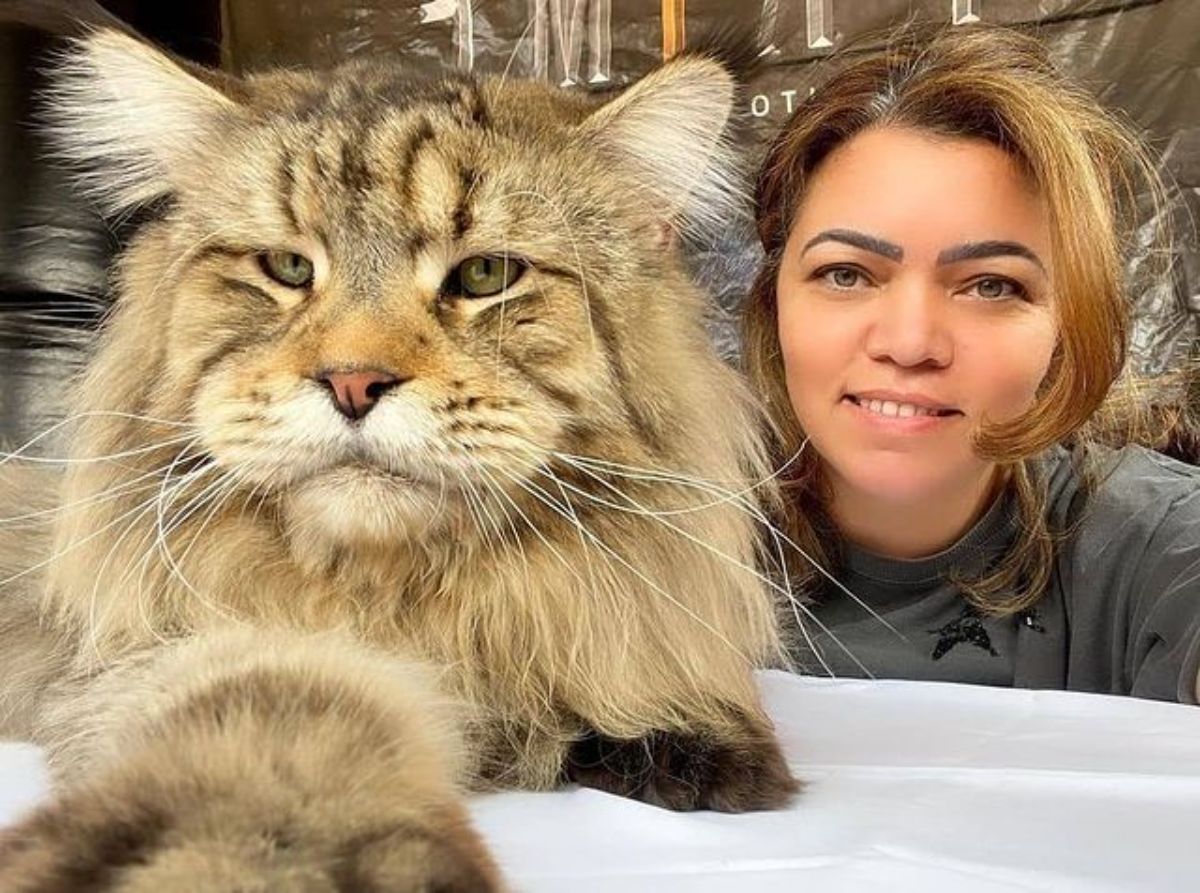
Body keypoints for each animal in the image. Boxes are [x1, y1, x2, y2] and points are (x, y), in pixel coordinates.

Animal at [0, 24, 796, 888]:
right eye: (287, 268)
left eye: (485, 273)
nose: (352, 381)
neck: (408, 610)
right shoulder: (165, 654)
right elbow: (288, 721)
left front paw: (676, 740)